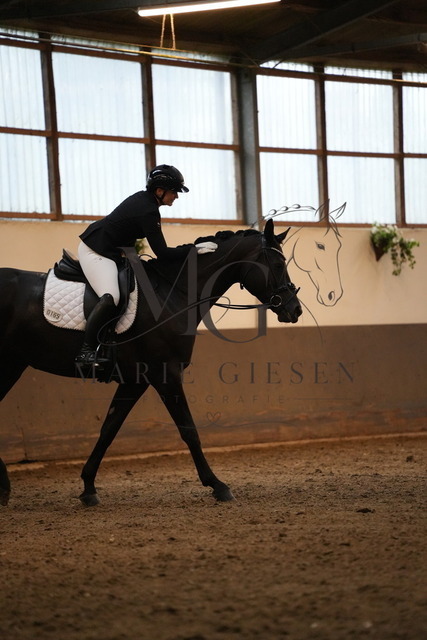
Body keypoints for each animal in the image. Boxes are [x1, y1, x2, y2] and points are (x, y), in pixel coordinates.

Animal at [0, 219, 302, 507]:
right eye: (278, 264)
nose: (295, 309)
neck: (173, 293)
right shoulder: (166, 375)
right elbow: (189, 430)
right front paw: (218, 485)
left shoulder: (136, 380)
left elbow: (109, 429)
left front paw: (88, 488)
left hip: (13, 364)